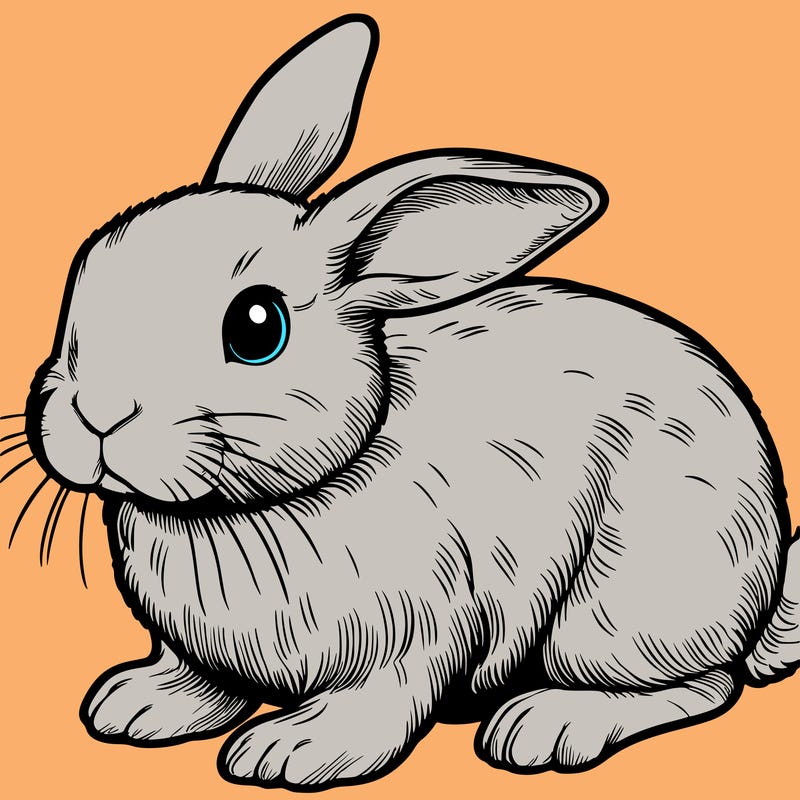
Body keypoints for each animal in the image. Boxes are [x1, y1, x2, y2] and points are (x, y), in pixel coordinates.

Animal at [16, 12, 800, 791]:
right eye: (86, 271)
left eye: (257, 327)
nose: (97, 414)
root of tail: (764, 588)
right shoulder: (199, 648)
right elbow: (201, 679)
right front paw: (137, 705)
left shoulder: (418, 630)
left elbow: (380, 702)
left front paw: (291, 751)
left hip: (619, 612)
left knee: (705, 684)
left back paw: (546, 725)